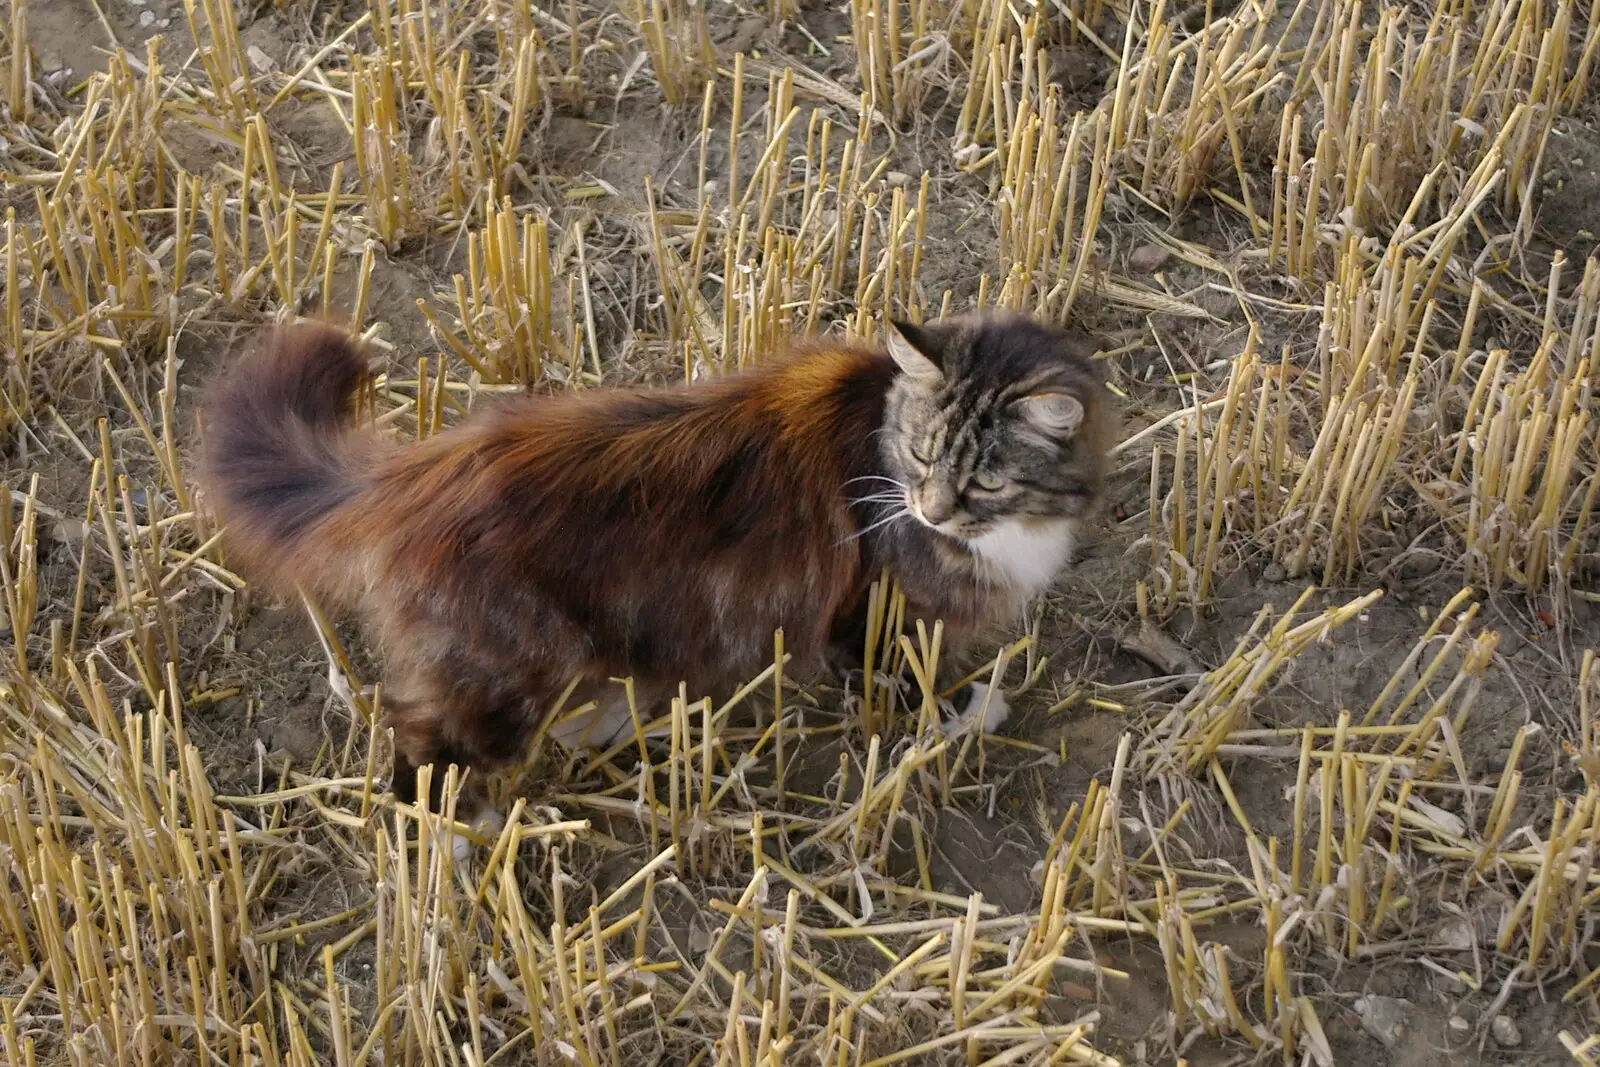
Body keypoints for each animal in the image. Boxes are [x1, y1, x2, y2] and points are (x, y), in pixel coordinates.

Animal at [200, 308, 1113, 831]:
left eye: (984, 479)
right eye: (923, 455)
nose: (929, 511)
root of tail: (419, 469)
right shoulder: (877, 615)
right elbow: (914, 684)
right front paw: (970, 710)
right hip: (506, 668)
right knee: (418, 751)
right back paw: (475, 836)